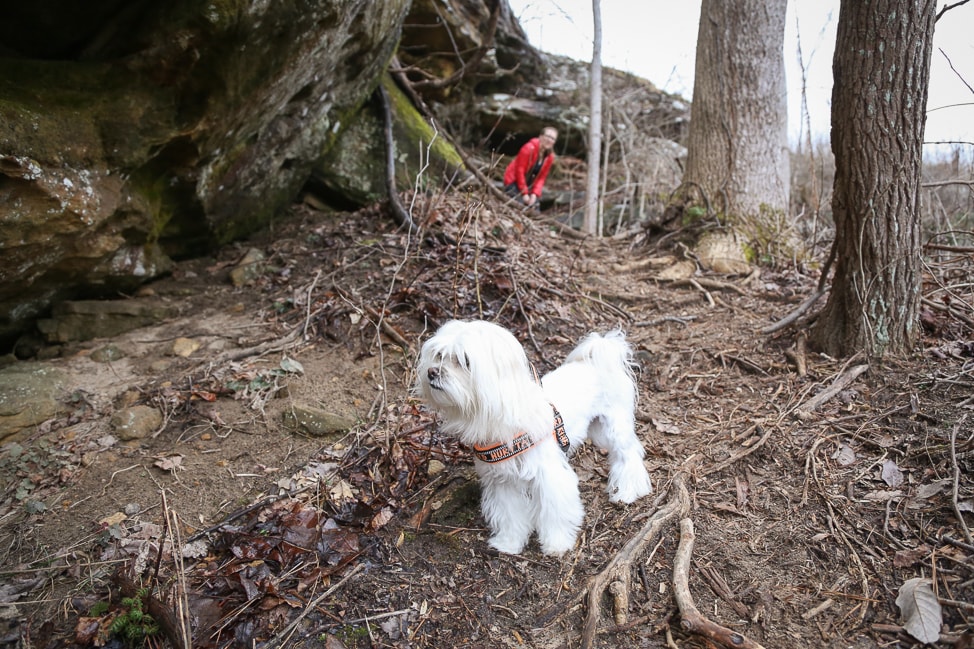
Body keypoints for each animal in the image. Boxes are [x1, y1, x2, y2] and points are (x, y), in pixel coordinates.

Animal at [416, 318, 652, 552]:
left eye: (464, 361)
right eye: (439, 356)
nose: (432, 372)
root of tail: (599, 359)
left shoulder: (550, 476)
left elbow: (555, 512)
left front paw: (557, 543)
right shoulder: (503, 481)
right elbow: (510, 515)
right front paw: (509, 543)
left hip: (612, 427)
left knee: (629, 454)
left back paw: (627, 491)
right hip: (596, 430)